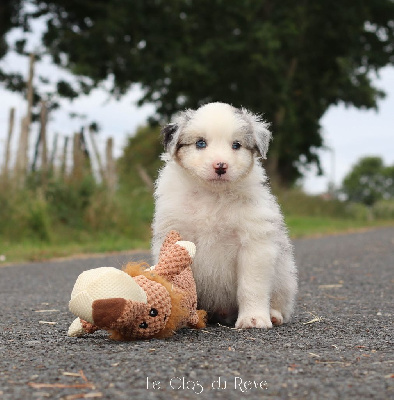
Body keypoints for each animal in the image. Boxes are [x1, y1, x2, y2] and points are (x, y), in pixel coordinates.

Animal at [152, 101, 298, 328]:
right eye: (200, 143)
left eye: (236, 145)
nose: (220, 166)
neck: (213, 196)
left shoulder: (254, 244)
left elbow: (251, 286)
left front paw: (253, 319)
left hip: (285, 278)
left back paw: (273, 315)